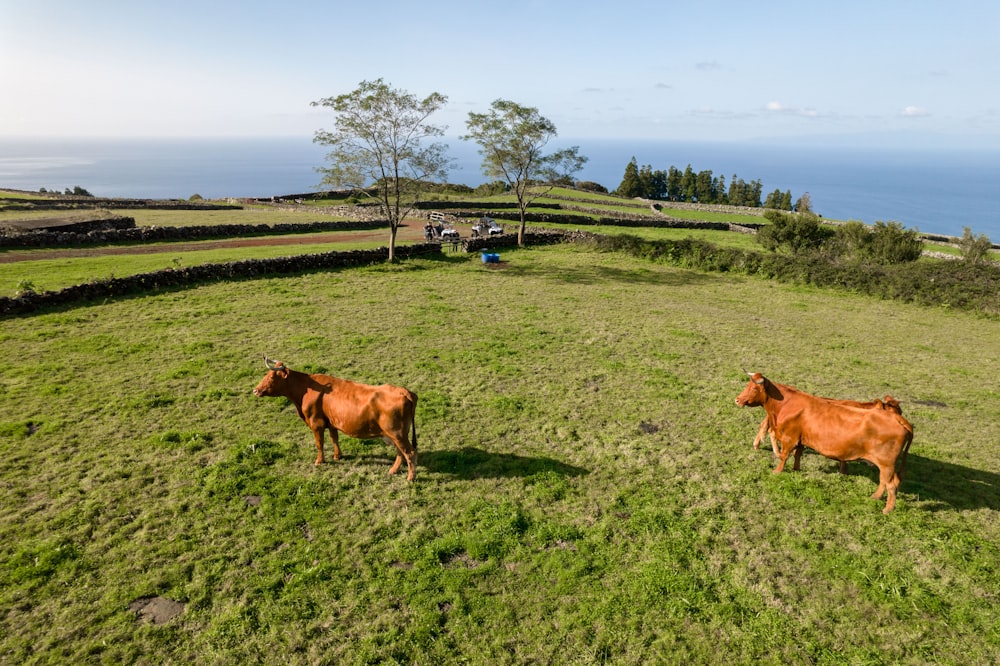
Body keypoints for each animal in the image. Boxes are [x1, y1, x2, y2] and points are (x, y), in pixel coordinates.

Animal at [256, 356, 420, 480]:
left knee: (409, 453)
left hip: (397, 434)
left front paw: (319, 461)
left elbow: (319, 443)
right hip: (395, 435)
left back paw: (410, 478)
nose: (255, 390)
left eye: (271, 376)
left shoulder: (316, 423)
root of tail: (403, 391)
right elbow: (334, 438)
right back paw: (393, 470)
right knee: (401, 452)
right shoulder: (331, 423)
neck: (306, 389)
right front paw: (337, 456)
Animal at [736, 370, 916, 510]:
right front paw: (796, 469)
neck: (786, 405)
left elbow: (785, 456)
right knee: (885, 481)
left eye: (753, 388)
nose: (737, 399)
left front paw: (777, 471)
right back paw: (875, 497)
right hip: (887, 466)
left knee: (890, 484)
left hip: (886, 464)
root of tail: (897, 419)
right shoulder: (801, 439)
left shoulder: (789, 438)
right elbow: (797, 455)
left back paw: (887, 509)